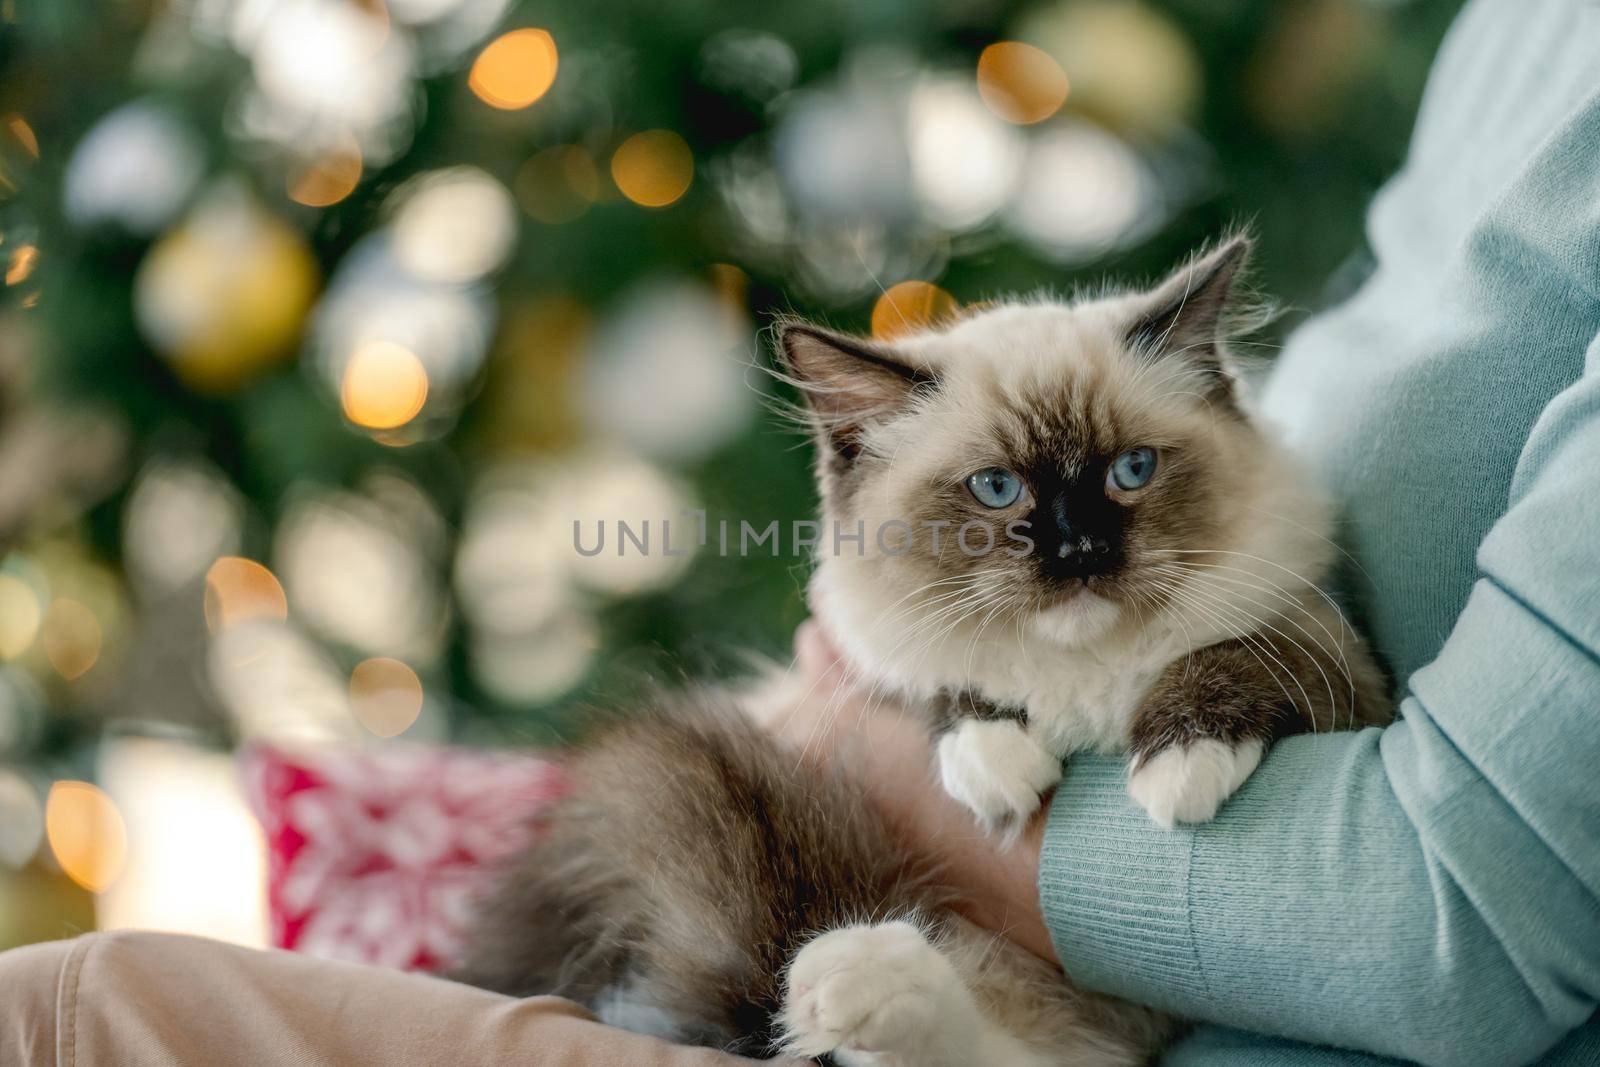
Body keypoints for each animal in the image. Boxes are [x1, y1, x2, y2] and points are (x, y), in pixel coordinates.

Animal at [451, 238, 1388, 1067]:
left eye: (1132, 470)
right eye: (997, 488)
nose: (1080, 549)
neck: (1082, 676)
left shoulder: (1327, 647)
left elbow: (1242, 652)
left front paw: (1177, 772)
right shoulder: (869, 653)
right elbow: (941, 682)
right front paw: (997, 760)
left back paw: (851, 981)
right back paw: (844, 980)